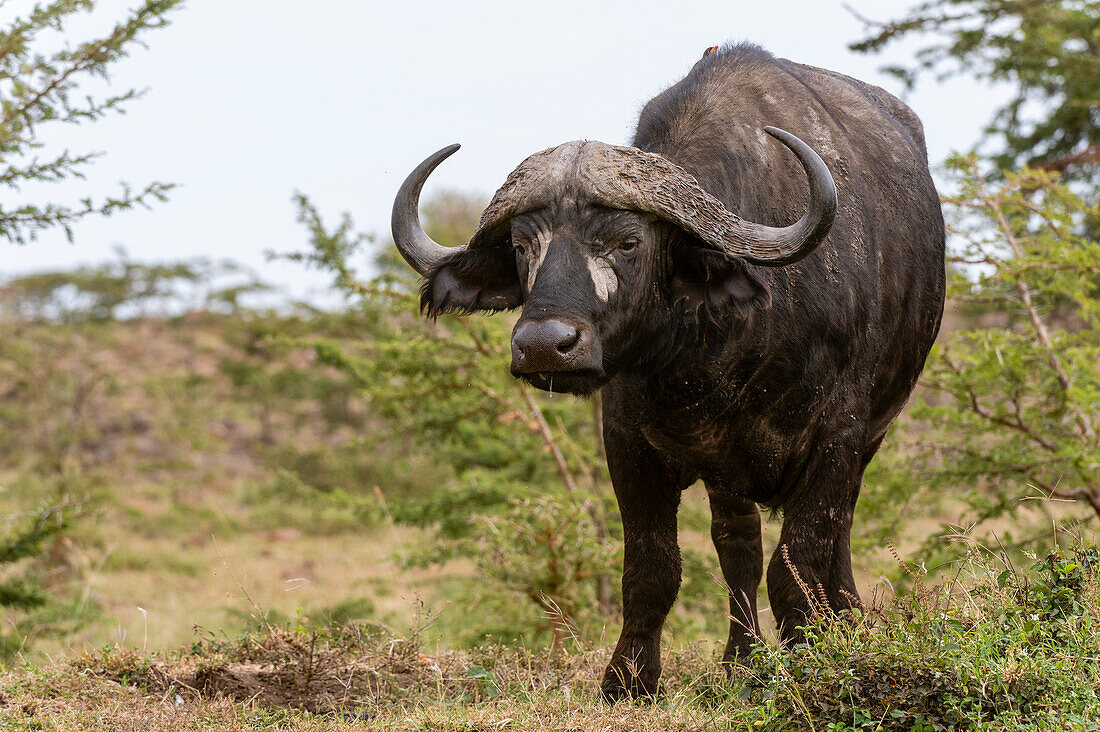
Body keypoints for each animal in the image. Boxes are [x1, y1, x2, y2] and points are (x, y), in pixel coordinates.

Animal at [389, 42, 946, 700]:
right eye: (524, 246)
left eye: (628, 242)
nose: (545, 346)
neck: (719, 354)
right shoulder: (630, 445)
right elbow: (653, 568)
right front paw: (629, 679)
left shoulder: (837, 437)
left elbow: (801, 562)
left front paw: (816, 654)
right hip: (729, 474)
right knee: (738, 549)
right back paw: (741, 663)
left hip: (866, 438)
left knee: (833, 536)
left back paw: (844, 621)